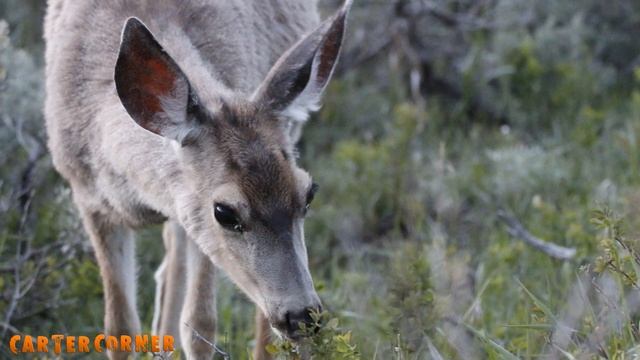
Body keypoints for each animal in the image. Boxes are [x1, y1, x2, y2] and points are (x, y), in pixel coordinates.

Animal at [43, 0, 356, 358]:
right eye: (225, 212)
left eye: (309, 194)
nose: (302, 315)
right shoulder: (89, 198)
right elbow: (119, 328)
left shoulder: (195, 220)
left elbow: (200, 324)